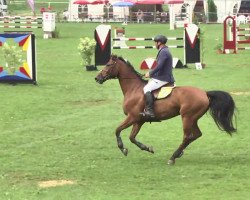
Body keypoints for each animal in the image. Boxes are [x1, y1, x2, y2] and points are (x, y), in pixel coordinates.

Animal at [94, 54, 236, 164]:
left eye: (108, 65)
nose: (97, 78)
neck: (133, 89)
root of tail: (205, 93)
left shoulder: (132, 117)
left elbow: (117, 130)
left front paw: (123, 148)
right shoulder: (139, 120)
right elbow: (132, 137)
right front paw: (148, 148)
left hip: (187, 118)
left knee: (187, 136)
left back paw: (173, 157)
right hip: (193, 118)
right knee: (196, 135)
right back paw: (179, 153)